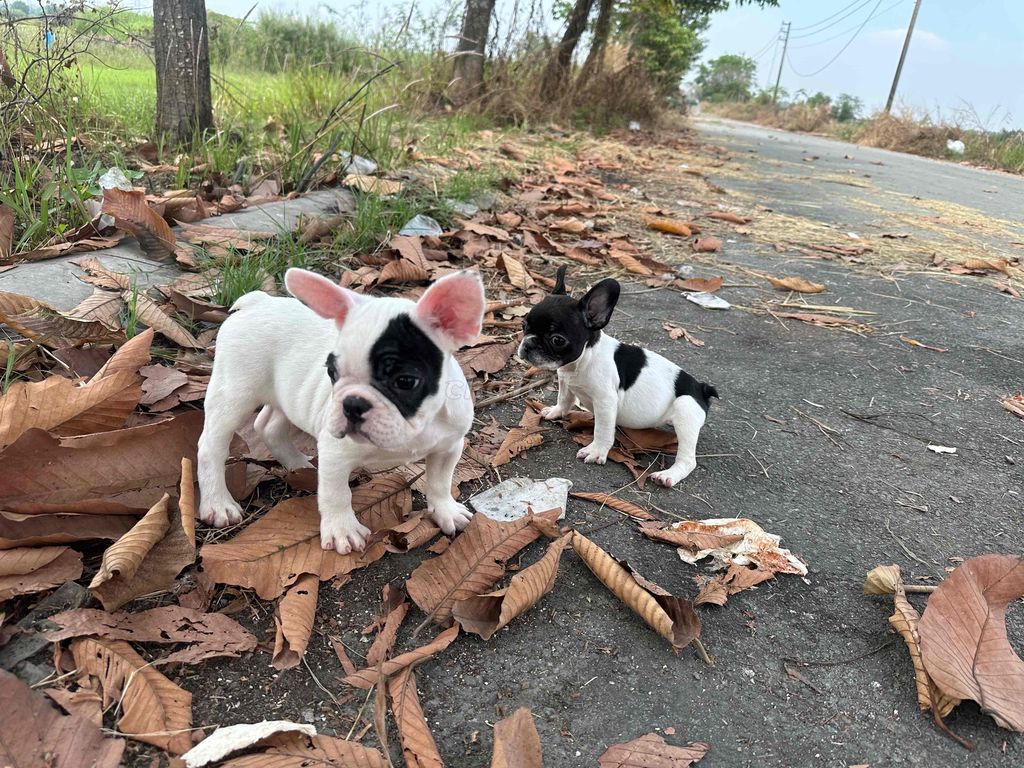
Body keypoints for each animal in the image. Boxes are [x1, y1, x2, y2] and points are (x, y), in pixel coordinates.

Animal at [201, 268, 489, 552]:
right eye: (332, 372)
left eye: (405, 381)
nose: (353, 403)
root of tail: (258, 302)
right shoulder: (335, 454)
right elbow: (336, 494)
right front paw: (343, 530)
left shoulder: (449, 446)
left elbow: (441, 481)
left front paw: (446, 511)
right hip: (234, 393)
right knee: (211, 445)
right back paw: (217, 503)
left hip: (285, 396)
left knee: (269, 426)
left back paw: (298, 465)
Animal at [516, 268, 716, 489]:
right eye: (523, 325)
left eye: (557, 340)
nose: (528, 344)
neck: (584, 358)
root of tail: (702, 388)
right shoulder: (565, 382)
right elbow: (564, 399)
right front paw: (556, 411)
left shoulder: (605, 402)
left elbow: (602, 430)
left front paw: (596, 451)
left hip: (685, 408)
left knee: (688, 459)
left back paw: (668, 475)